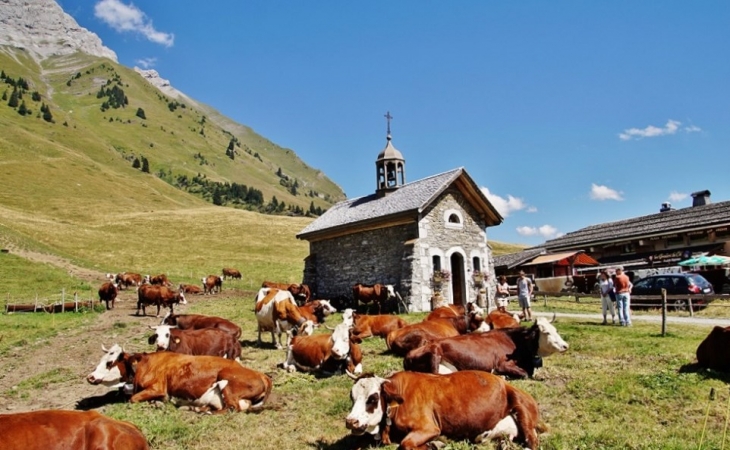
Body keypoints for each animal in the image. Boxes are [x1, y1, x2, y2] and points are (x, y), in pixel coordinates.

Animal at [88, 344, 270, 414]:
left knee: (231, 408)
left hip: (226, 382)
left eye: (109, 362)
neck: (144, 364)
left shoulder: (158, 388)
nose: (90, 377)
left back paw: (204, 411)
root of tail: (261, 374)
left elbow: (133, 399)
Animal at [342, 370, 540, 448]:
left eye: (373, 398)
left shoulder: (429, 428)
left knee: (532, 440)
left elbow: (406, 444)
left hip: (522, 408)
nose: (351, 421)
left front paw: (434, 444)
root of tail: (503, 382)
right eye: (351, 397)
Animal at [400, 318, 564, 378]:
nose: (565, 345)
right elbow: (524, 374)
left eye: (556, 330)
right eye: (546, 332)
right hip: (435, 351)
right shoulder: (502, 364)